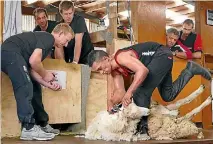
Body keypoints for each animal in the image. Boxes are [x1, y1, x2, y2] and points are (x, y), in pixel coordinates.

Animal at [85, 84, 213, 141]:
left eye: (134, 102)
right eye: (132, 114)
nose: (148, 110)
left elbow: (183, 102)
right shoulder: (176, 120)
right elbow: (191, 112)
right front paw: (208, 100)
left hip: (163, 108)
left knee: (179, 103)